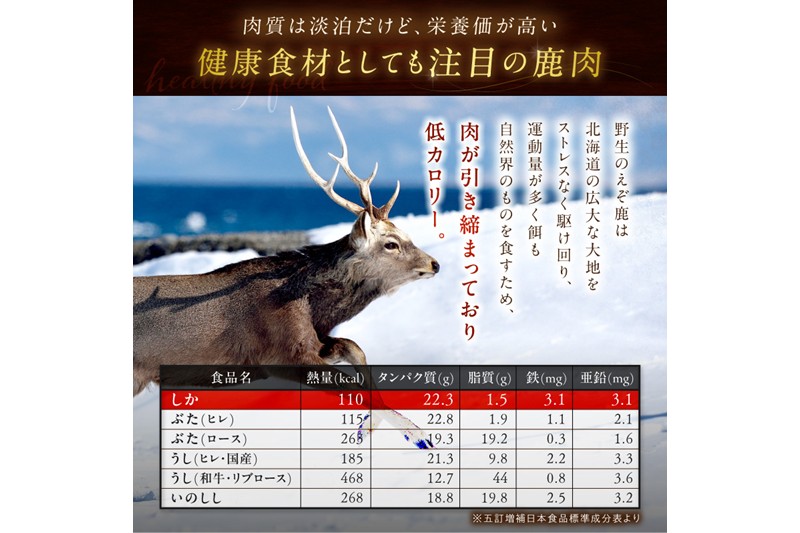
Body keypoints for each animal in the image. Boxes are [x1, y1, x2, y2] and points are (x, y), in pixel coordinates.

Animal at [134, 106, 440, 447]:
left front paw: (369, 427)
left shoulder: (314, 341)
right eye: (391, 243)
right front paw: (416, 434)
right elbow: (351, 382)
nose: (434, 264)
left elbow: (354, 347)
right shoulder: (282, 353)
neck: (313, 307)